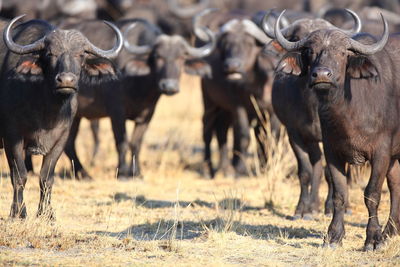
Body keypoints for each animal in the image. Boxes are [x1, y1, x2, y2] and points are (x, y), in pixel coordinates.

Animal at [0, 15, 122, 219]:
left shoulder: (61, 138)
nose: (66, 80)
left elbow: (46, 177)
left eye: (81, 54)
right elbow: (19, 175)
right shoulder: (11, 136)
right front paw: (19, 213)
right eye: (50, 54)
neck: (45, 109)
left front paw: (47, 214)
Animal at [276, 10, 400, 252]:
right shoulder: (332, 151)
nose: (322, 75)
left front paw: (373, 240)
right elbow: (339, 193)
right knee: (396, 184)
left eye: (342, 53)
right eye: (310, 51)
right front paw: (333, 236)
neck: (349, 113)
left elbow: (372, 194)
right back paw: (390, 232)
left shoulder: (381, 152)